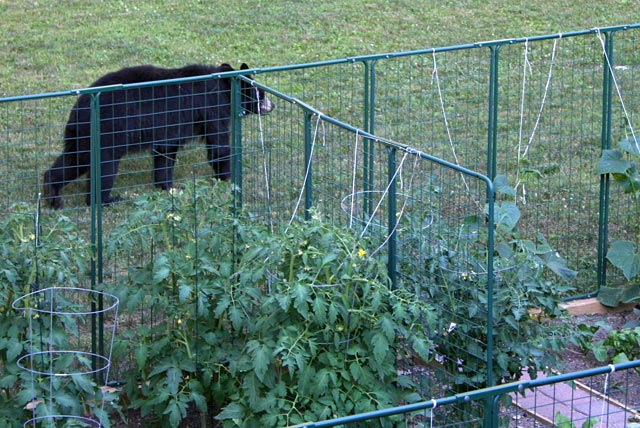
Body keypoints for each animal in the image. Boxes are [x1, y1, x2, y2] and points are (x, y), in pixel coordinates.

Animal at [43, 63, 274, 209]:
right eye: (261, 93)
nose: (272, 105)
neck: (224, 86)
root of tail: (80, 107)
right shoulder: (212, 109)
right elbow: (218, 146)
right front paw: (227, 177)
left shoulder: (171, 129)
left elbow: (165, 154)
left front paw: (169, 186)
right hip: (109, 132)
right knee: (104, 166)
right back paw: (107, 200)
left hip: (82, 135)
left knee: (74, 160)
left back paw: (53, 196)